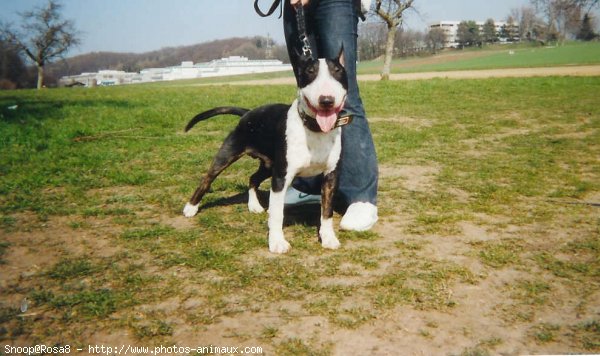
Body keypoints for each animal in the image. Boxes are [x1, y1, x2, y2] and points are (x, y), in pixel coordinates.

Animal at [185, 51, 350, 254]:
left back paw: (254, 206)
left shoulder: (330, 176)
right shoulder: (281, 177)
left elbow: (326, 212)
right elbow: (278, 215)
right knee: (207, 179)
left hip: (268, 165)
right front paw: (277, 242)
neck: (315, 130)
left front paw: (328, 238)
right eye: (310, 72)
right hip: (229, 154)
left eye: (338, 71)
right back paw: (191, 207)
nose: (326, 99)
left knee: (253, 178)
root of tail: (247, 113)